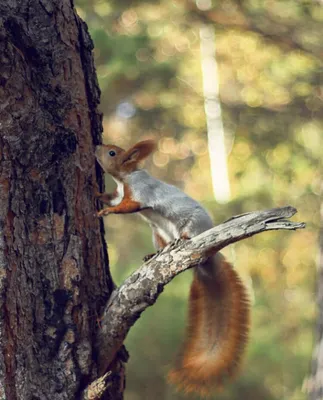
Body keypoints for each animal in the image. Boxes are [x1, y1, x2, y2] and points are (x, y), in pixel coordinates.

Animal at [93, 139, 251, 396]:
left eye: (112, 152)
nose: (96, 145)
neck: (126, 177)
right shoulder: (119, 194)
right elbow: (112, 198)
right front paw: (97, 194)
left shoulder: (140, 193)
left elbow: (127, 207)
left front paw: (106, 211)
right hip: (158, 233)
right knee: (162, 244)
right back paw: (153, 253)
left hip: (191, 225)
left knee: (188, 234)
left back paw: (184, 239)